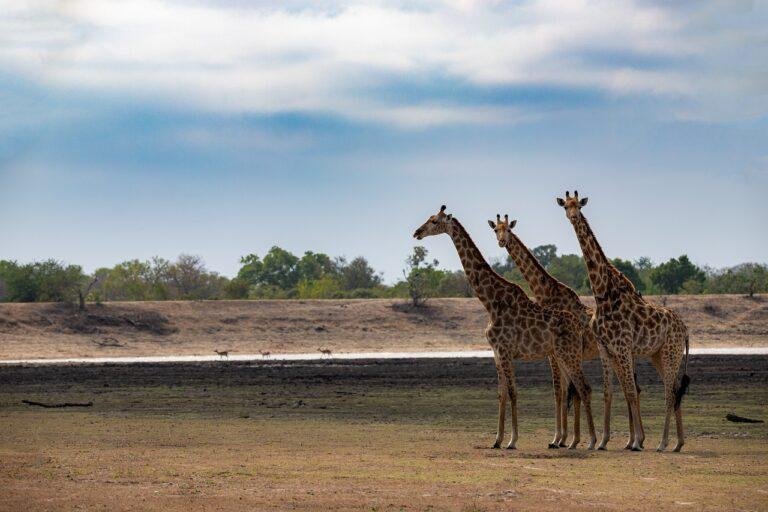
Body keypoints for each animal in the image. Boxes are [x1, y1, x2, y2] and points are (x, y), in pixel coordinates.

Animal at [412, 204, 596, 448]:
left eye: (434, 221)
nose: (417, 233)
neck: (490, 301)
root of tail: (578, 325)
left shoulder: (507, 351)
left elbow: (514, 392)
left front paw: (512, 440)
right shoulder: (497, 353)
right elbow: (502, 394)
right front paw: (497, 440)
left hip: (569, 354)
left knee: (583, 388)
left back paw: (593, 441)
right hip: (563, 355)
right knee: (576, 389)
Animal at [492, 213, 616, 448]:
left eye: (509, 230)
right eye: (496, 230)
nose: (502, 242)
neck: (544, 292)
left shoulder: (554, 353)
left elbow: (562, 390)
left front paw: (562, 438)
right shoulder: (556, 352)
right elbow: (564, 391)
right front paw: (563, 438)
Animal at [556, 192, 692, 452]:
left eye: (578, 205)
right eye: (565, 206)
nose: (573, 216)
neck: (602, 294)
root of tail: (686, 330)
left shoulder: (622, 347)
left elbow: (630, 391)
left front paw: (637, 441)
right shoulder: (605, 348)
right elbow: (609, 392)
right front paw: (602, 441)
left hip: (671, 352)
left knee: (669, 393)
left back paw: (663, 443)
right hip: (658, 354)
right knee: (674, 389)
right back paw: (678, 443)